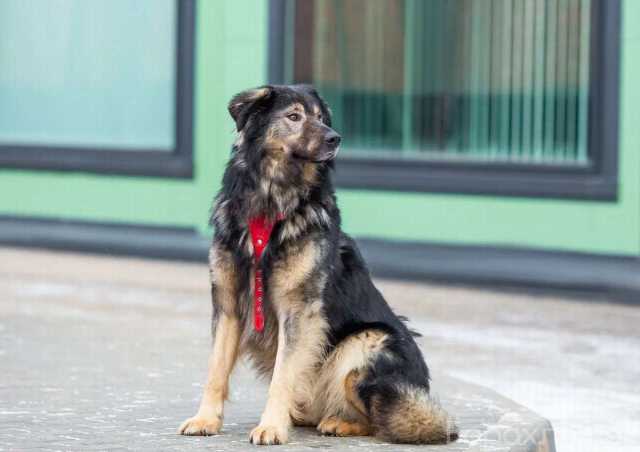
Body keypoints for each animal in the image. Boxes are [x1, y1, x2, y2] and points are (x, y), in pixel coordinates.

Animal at [178, 84, 458, 445]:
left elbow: (282, 375)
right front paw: (205, 419)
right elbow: (216, 370)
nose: (335, 138)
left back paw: (338, 422)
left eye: (322, 118)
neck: (271, 201)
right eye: (294, 116)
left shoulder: (299, 312)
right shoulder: (228, 306)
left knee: (383, 420)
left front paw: (271, 426)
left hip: (365, 342)